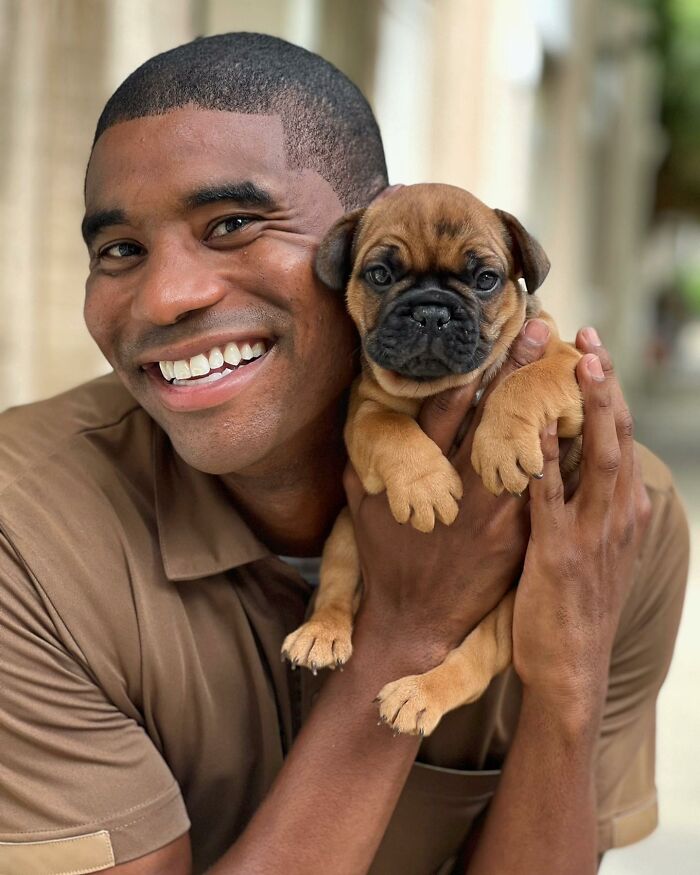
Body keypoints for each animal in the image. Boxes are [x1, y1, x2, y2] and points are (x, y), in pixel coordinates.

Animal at [282, 185, 584, 740]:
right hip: (344, 531)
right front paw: (426, 486)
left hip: (509, 614)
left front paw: (500, 443)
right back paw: (321, 634)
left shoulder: (568, 364)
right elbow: (390, 429)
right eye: (380, 275)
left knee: (470, 666)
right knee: (336, 589)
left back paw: (419, 694)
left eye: (485, 279)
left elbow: (525, 380)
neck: (435, 388)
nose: (431, 312)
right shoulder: (365, 412)